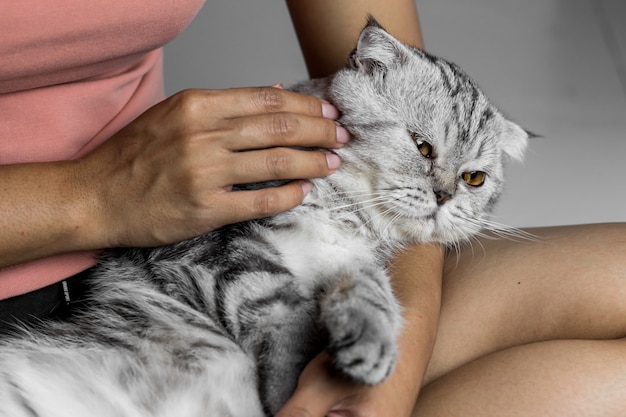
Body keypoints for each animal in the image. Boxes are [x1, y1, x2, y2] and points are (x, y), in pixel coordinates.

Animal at [0, 17, 528, 414]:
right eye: (422, 146)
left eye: (474, 179)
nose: (444, 196)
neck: (344, 215)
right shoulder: (216, 242)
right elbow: (280, 310)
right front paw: (285, 390)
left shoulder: (346, 260)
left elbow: (370, 292)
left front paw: (370, 345)